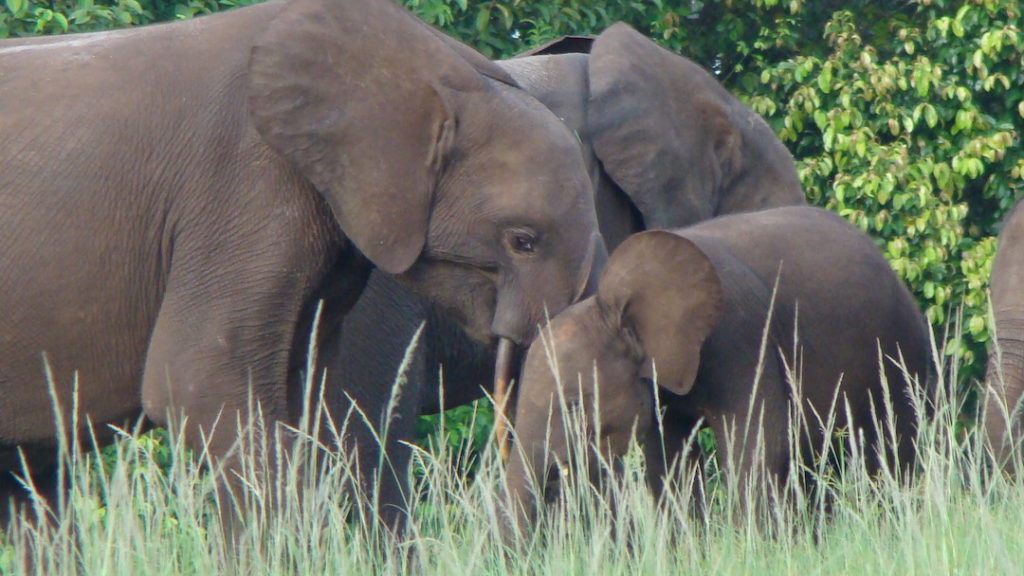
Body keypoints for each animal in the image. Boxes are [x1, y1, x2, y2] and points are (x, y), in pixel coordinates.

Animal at [501, 204, 929, 528]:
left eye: (575, 404)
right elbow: (670, 463)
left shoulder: (742, 338)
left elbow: (757, 450)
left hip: (902, 347)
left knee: (900, 446)